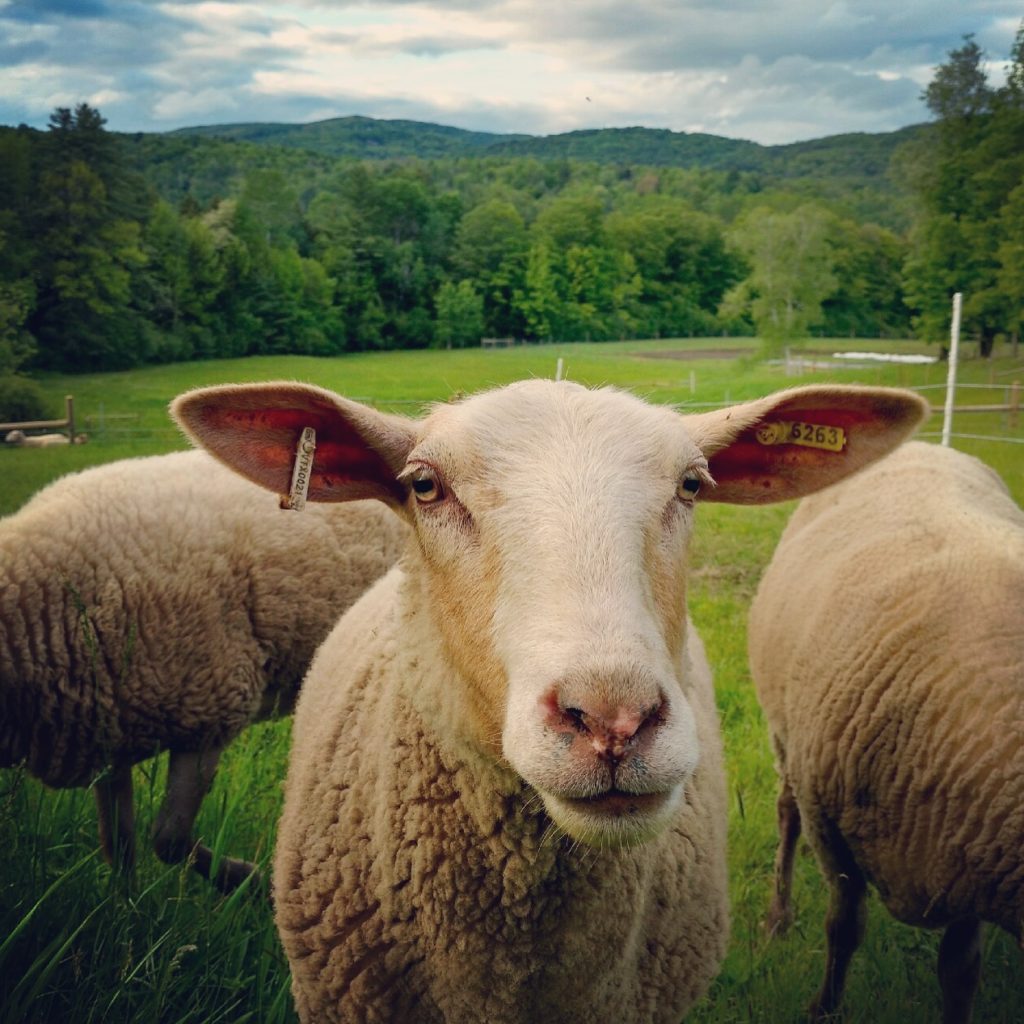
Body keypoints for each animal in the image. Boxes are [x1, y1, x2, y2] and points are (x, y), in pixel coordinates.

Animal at [0, 448, 406, 890]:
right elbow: (119, 844)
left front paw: (249, 881)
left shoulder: (208, 712)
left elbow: (168, 839)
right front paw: (125, 902)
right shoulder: (107, 735)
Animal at [748, 440, 1024, 1022]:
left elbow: (959, 969)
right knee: (787, 816)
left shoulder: (969, 854)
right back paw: (778, 918)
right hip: (786, 734)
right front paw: (823, 1008)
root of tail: (925, 442)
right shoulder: (832, 827)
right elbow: (843, 927)